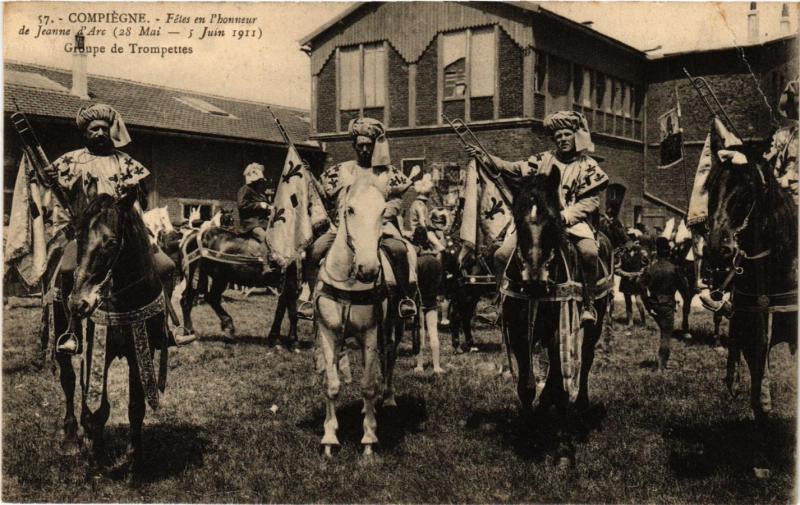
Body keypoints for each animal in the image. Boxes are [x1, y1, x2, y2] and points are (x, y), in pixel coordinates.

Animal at [312, 176, 388, 456]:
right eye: (350, 210)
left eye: (383, 211)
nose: (368, 270)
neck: (350, 281)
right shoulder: (328, 332)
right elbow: (332, 385)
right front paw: (329, 439)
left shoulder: (371, 332)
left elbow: (368, 385)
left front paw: (369, 439)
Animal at [500, 168, 612, 468]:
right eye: (518, 219)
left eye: (552, 218)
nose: (534, 280)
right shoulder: (519, 332)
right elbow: (527, 384)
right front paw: (528, 433)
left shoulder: (558, 329)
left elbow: (559, 383)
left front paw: (563, 450)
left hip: (595, 321)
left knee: (585, 359)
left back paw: (579, 406)